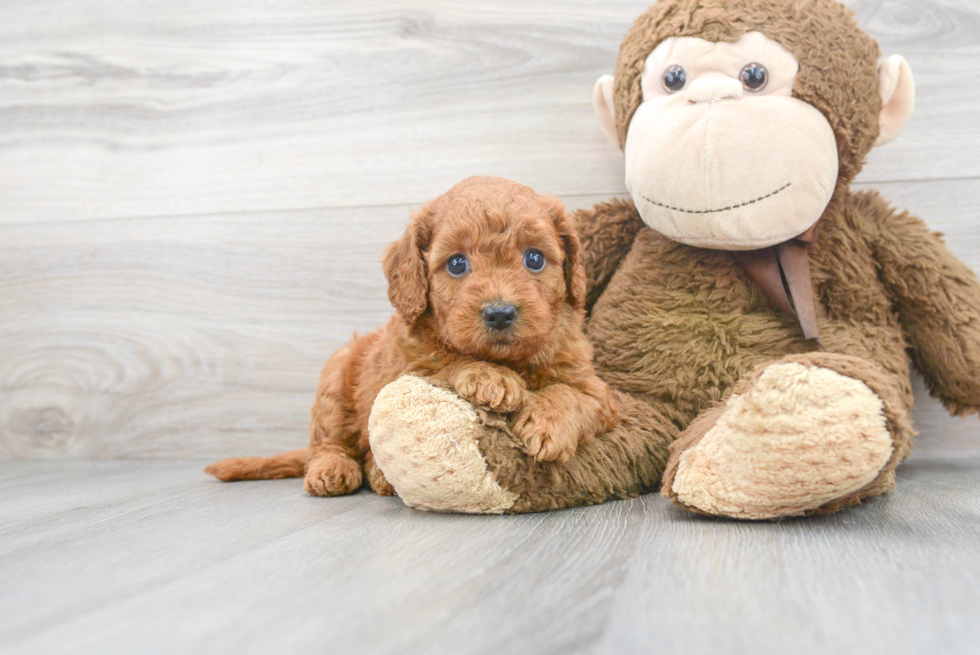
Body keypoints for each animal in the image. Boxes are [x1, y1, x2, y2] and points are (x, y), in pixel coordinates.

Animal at [206, 177, 616, 494]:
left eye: (535, 258)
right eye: (456, 263)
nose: (500, 312)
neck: (507, 357)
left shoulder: (599, 392)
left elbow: (575, 396)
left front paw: (549, 425)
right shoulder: (406, 370)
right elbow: (445, 362)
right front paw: (489, 377)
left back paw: (378, 476)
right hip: (336, 375)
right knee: (330, 442)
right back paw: (333, 470)